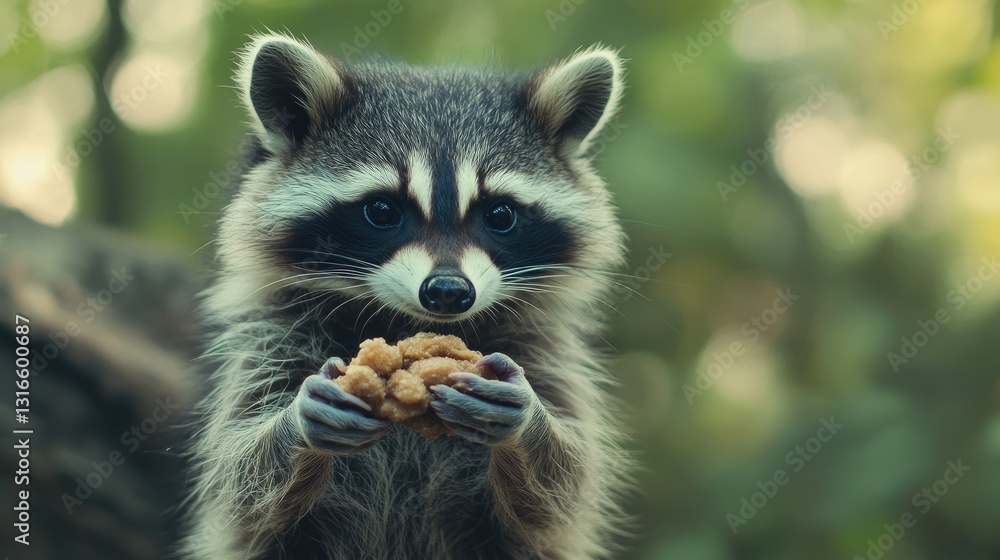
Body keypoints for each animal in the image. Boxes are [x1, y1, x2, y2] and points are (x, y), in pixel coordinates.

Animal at [180, 33, 629, 560]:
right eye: (381, 210)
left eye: (499, 215)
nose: (449, 291)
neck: (405, 322)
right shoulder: (270, 337)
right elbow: (240, 486)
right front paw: (296, 422)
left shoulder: (546, 349)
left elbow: (564, 493)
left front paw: (529, 418)